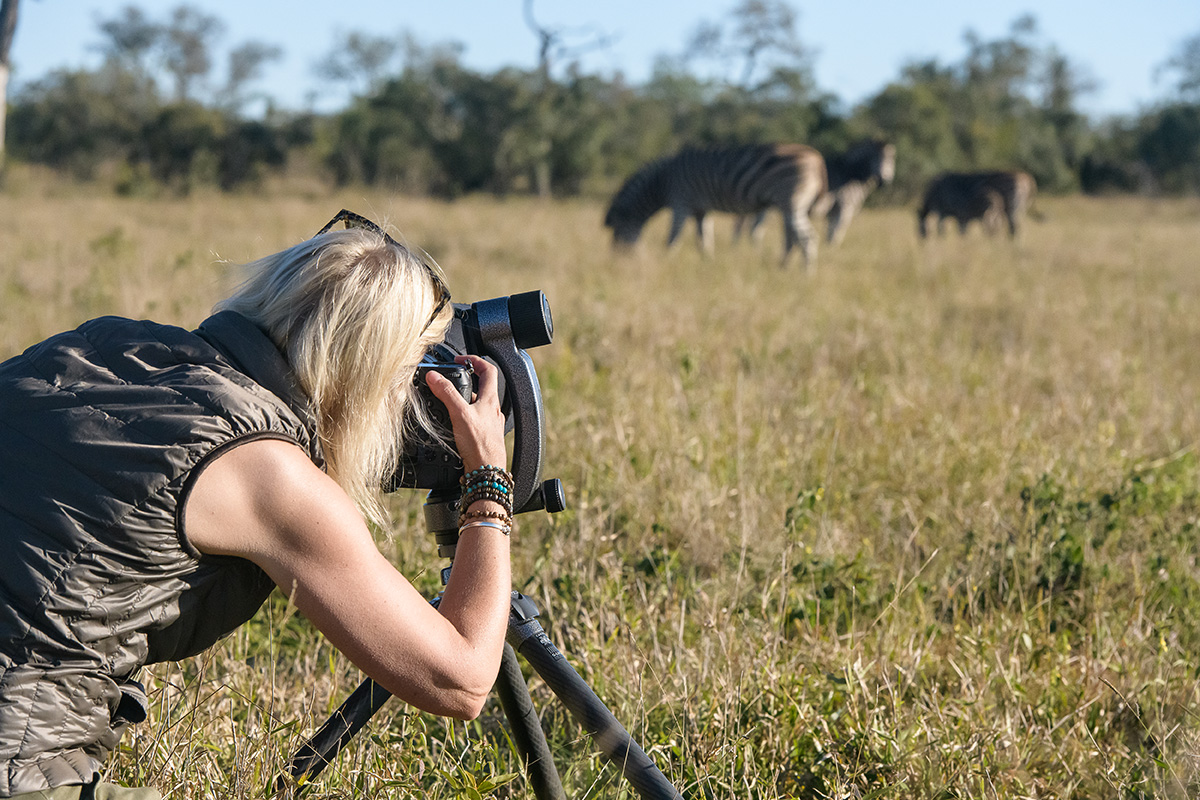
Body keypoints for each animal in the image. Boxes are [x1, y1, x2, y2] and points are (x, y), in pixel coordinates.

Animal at [604, 142, 830, 271]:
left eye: (617, 234)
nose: (616, 263)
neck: (662, 182)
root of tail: (816, 157)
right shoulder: (700, 210)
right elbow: (703, 240)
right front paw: (707, 263)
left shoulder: (681, 202)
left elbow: (673, 238)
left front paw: (666, 261)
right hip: (788, 205)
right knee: (792, 238)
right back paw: (783, 267)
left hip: (791, 202)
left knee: (806, 238)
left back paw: (806, 274)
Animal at [734, 139, 897, 244]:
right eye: (876, 158)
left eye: (891, 160)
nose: (884, 181)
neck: (849, 174)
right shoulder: (844, 208)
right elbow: (835, 234)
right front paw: (831, 251)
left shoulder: (833, 212)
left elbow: (830, 233)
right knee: (753, 228)